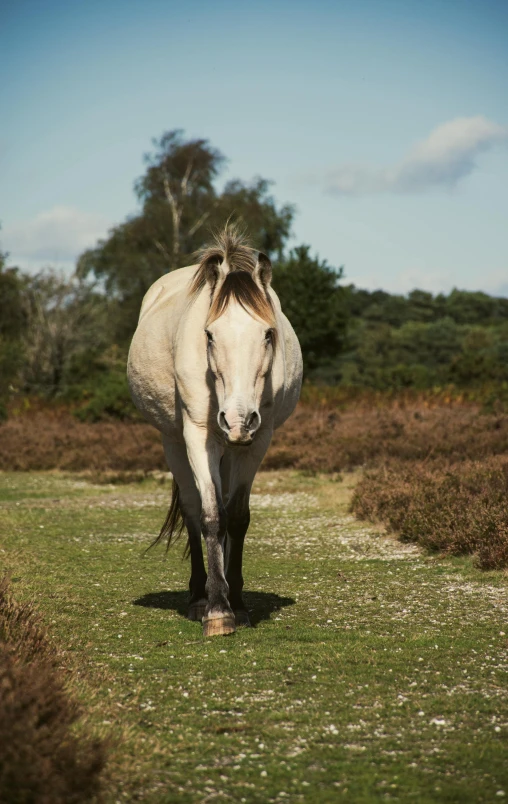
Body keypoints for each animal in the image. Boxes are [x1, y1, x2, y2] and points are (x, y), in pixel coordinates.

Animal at [127, 225, 302, 636]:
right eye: (209, 335)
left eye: (268, 334)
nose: (238, 420)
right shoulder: (199, 436)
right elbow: (210, 516)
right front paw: (218, 611)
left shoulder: (257, 441)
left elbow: (235, 518)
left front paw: (236, 603)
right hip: (175, 443)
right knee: (193, 512)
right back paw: (198, 598)